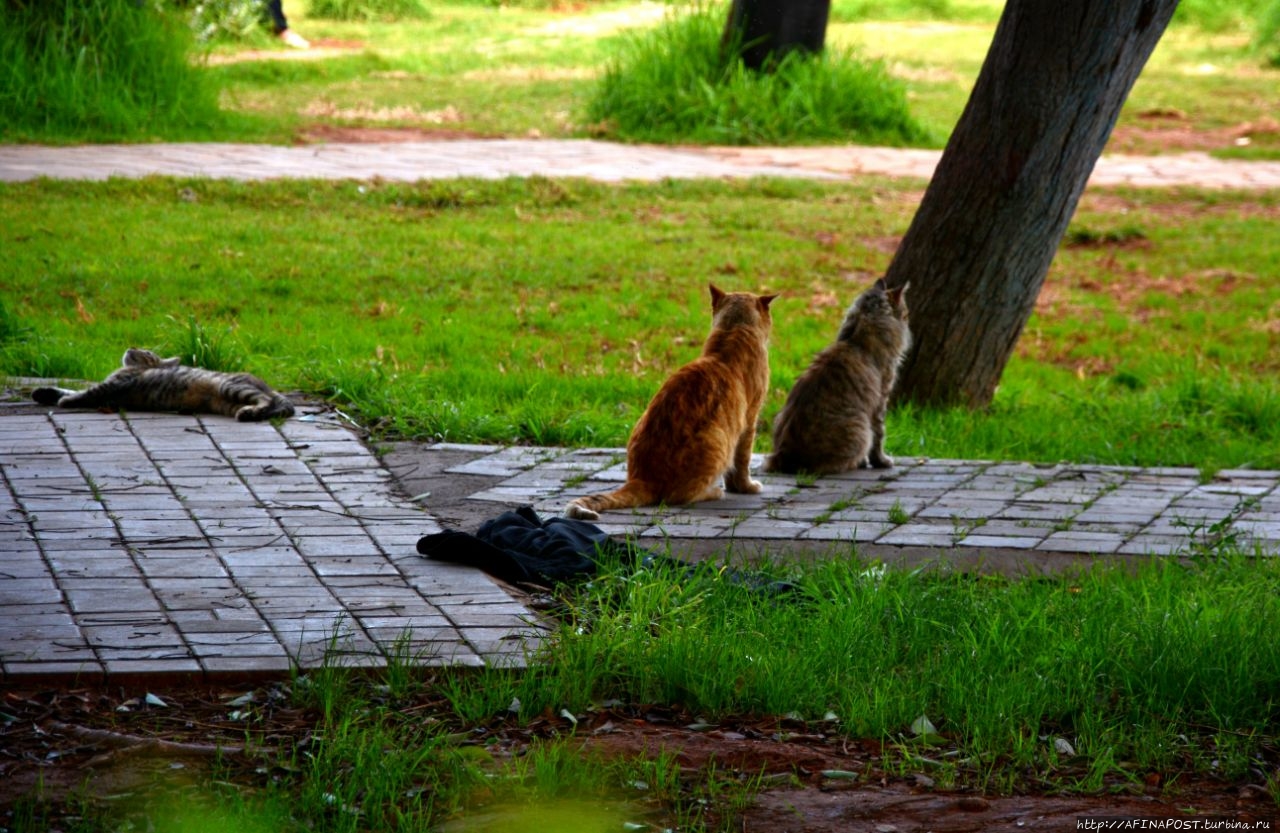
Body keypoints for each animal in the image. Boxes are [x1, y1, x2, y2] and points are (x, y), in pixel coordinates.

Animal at [35, 348, 296, 424]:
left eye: (146, 352)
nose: (131, 347)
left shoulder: (112, 387)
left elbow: (83, 393)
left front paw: (65, 400)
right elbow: (70, 389)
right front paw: (43, 392)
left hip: (230, 387)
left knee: (267, 401)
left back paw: (251, 411)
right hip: (225, 402)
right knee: (275, 408)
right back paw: (250, 413)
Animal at [568, 286, 778, 522]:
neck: (732, 332)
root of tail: (642, 478)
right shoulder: (749, 420)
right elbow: (742, 462)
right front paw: (745, 487)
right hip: (717, 438)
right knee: (680, 496)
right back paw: (713, 492)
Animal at [757, 280, 911, 476]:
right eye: (905, 314)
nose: (908, 320)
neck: (856, 338)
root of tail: (783, 456)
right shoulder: (880, 402)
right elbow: (879, 437)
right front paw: (881, 462)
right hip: (861, 429)